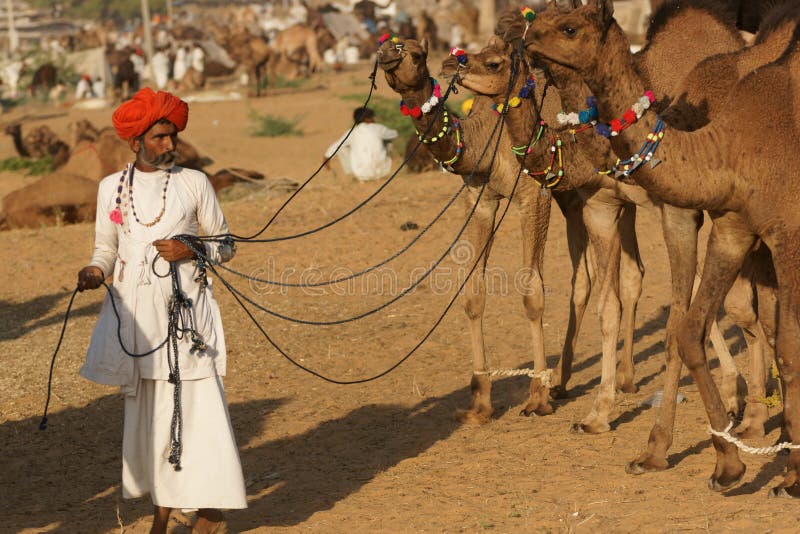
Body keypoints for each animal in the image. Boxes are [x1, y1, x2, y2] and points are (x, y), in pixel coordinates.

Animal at [378, 36, 596, 422]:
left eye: (417, 54)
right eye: (388, 42)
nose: (387, 54)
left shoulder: (533, 196)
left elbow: (531, 293)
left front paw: (536, 398)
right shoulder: (479, 198)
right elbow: (473, 293)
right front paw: (479, 403)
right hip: (571, 197)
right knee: (585, 276)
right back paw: (562, 381)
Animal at [520, 0, 800, 498]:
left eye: (568, 27)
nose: (527, 39)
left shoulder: (783, 230)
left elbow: (783, 340)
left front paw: (789, 474)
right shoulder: (731, 225)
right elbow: (685, 328)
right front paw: (710, 462)